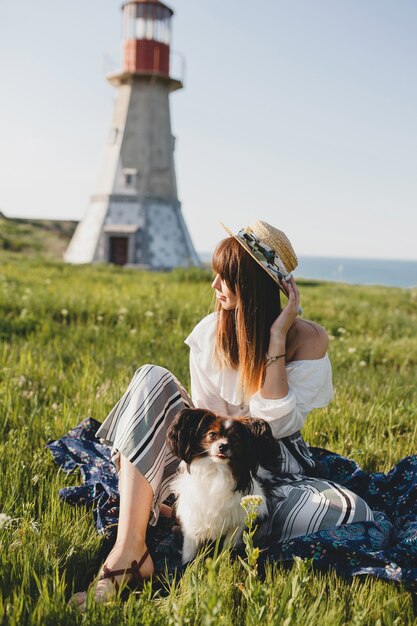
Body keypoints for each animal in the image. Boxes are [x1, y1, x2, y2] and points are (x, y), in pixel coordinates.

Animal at [166, 408, 280, 564]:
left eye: (235, 439)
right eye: (212, 435)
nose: (223, 446)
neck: (217, 470)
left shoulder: (237, 523)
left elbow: (228, 546)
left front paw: (224, 562)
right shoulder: (193, 520)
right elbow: (189, 551)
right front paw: (187, 565)